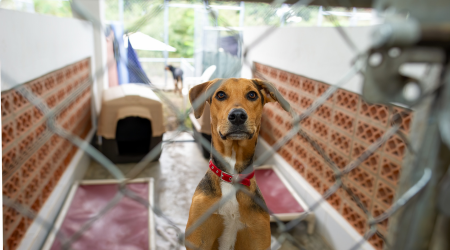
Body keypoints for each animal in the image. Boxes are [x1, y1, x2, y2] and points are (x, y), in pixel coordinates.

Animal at [185, 78, 290, 250]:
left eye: (252, 95)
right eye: (220, 95)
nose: (238, 116)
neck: (232, 177)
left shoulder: (257, 238)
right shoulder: (199, 238)